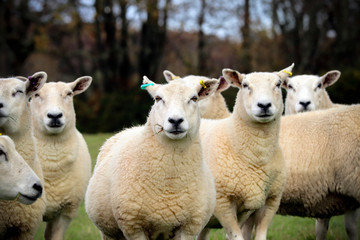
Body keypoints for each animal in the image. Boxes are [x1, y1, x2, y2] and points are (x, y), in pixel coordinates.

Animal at [85, 76, 219, 240]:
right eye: (158, 98)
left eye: (194, 98)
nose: (175, 121)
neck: (170, 181)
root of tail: (131, 128)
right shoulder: (133, 226)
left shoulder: (189, 227)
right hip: (109, 232)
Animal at [197, 64, 296, 240]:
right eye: (245, 85)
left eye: (278, 84)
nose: (264, 105)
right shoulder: (223, 203)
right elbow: (237, 236)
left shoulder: (271, 201)